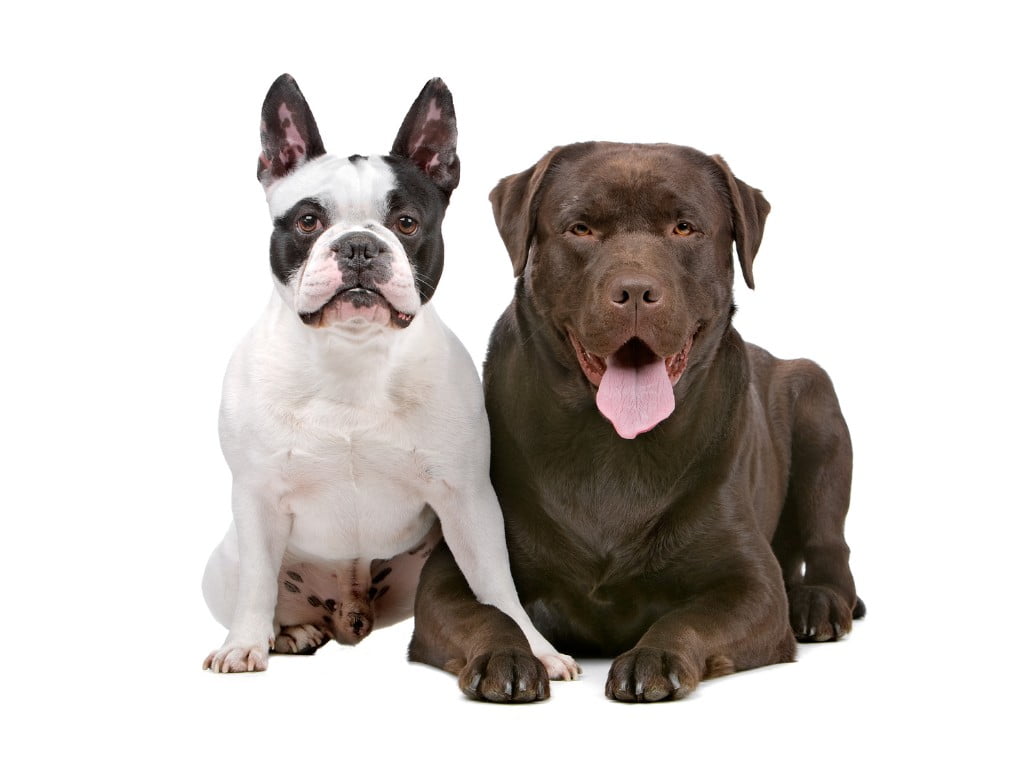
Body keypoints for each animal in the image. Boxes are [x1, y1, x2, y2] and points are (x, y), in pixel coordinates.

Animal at [409, 143, 864, 704]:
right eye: (580, 228)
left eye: (684, 228)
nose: (634, 292)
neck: (613, 443)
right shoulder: (448, 572)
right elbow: (489, 611)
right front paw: (509, 655)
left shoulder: (752, 583)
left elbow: (692, 617)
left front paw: (655, 657)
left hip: (816, 399)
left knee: (831, 547)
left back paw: (816, 602)